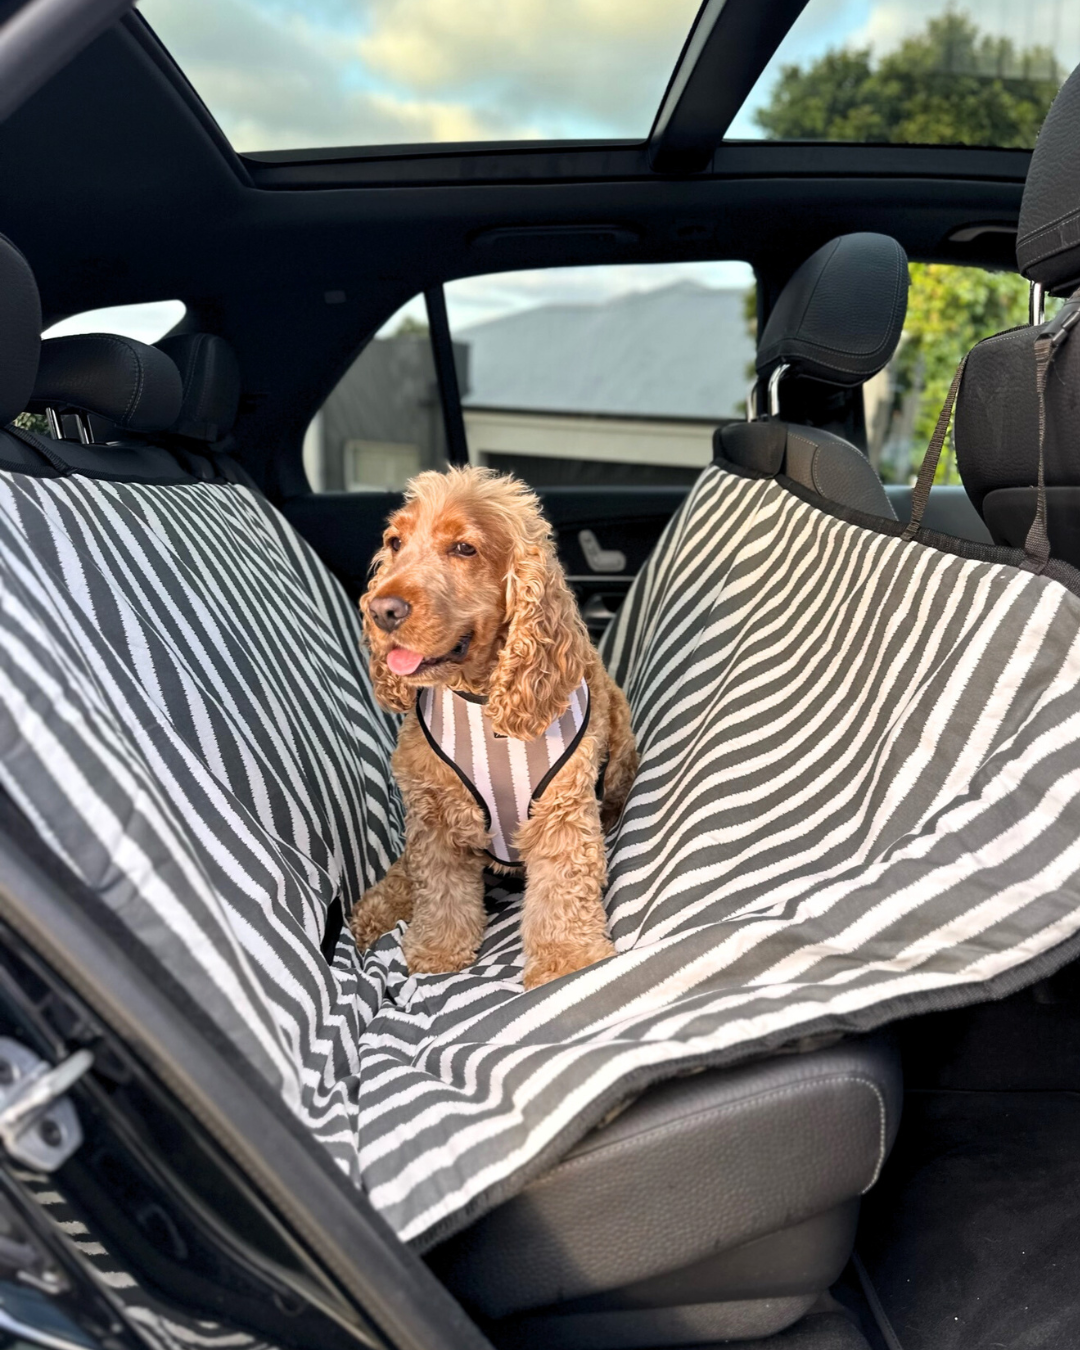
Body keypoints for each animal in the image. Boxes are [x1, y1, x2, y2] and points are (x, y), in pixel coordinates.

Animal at [353, 469, 637, 988]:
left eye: (464, 548)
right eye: (396, 542)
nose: (382, 610)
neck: (483, 701)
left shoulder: (561, 809)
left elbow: (563, 888)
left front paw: (566, 960)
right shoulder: (434, 813)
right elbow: (438, 886)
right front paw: (438, 950)